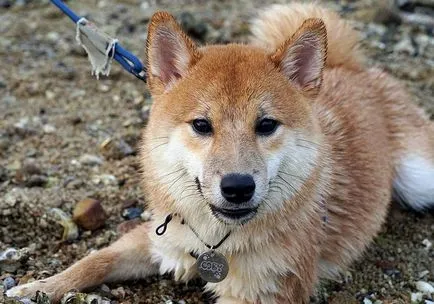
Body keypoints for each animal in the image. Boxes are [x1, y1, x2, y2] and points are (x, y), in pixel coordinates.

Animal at [6, 2, 434, 304]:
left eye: (266, 125)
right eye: (201, 125)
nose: (238, 187)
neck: (216, 240)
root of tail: (353, 70)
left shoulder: (266, 293)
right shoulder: (159, 238)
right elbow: (94, 260)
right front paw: (39, 286)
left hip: (419, 178)